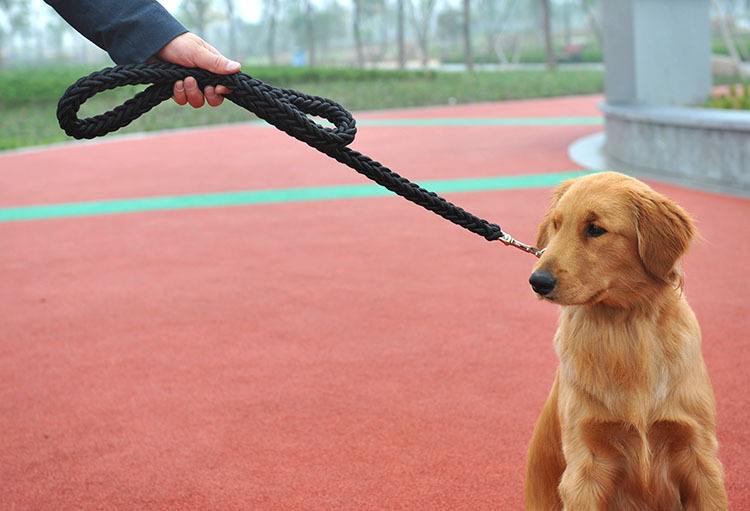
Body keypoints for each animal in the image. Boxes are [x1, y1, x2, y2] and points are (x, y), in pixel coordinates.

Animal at [524, 173, 728, 511]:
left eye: (595, 229)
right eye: (556, 225)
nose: (538, 282)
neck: (625, 326)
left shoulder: (700, 458)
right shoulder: (585, 466)